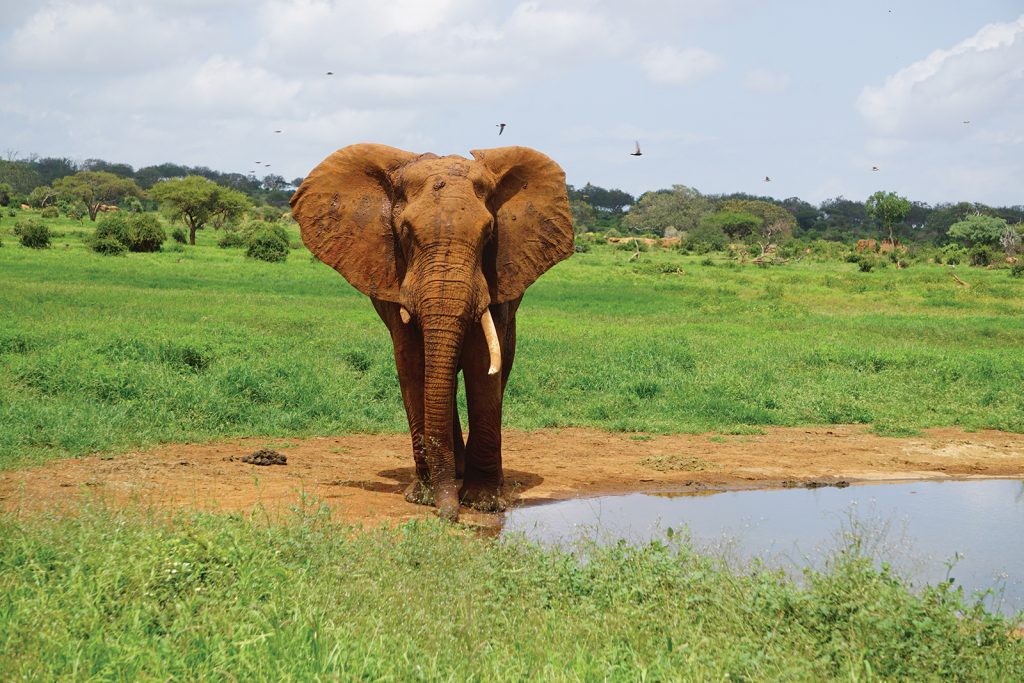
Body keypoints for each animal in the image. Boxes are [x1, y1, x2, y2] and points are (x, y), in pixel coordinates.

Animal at [291, 144, 573, 521]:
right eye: (406, 232)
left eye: (488, 233)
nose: (449, 515)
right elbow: (412, 363)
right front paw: (424, 498)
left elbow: (482, 365)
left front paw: (482, 503)